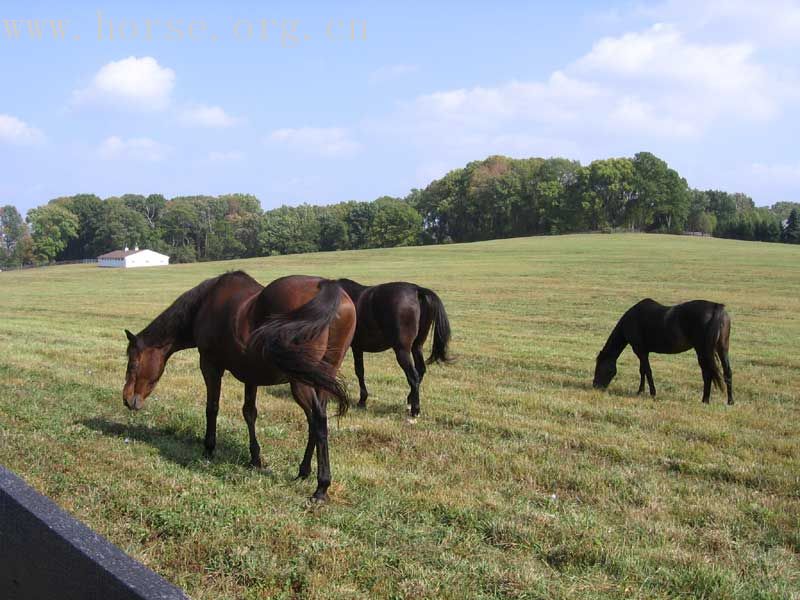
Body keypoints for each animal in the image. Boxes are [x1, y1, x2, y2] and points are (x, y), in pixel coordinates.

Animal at [121, 272, 354, 502]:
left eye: (132, 364)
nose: (127, 399)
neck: (205, 303)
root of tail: (326, 286)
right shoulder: (251, 375)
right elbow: (249, 413)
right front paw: (255, 458)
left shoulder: (210, 366)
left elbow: (212, 408)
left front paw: (208, 449)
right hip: (322, 378)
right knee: (315, 422)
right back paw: (303, 472)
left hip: (301, 382)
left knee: (318, 420)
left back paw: (321, 487)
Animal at [336, 280, 454, 418]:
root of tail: (417, 290)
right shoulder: (356, 347)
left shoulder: (354, 347)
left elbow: (358, 371)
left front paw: (362, 400)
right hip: (416, 346)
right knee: (420, 371)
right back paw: (410, 400)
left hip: (402, 350)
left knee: (413, 376)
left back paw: (415, 410)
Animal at [592, 298, 736, 406]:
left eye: (599, 366)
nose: (595, 386)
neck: (631, 320)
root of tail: (717, 308)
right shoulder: (643, 351)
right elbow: (642, 371)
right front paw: (640, 391)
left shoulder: (640, 350)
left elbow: (647, 371)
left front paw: (652, 393)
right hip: (722, 348)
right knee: (727, 372)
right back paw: (730, 401)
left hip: (702, 351)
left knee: (707, 374)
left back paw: (705, 400)